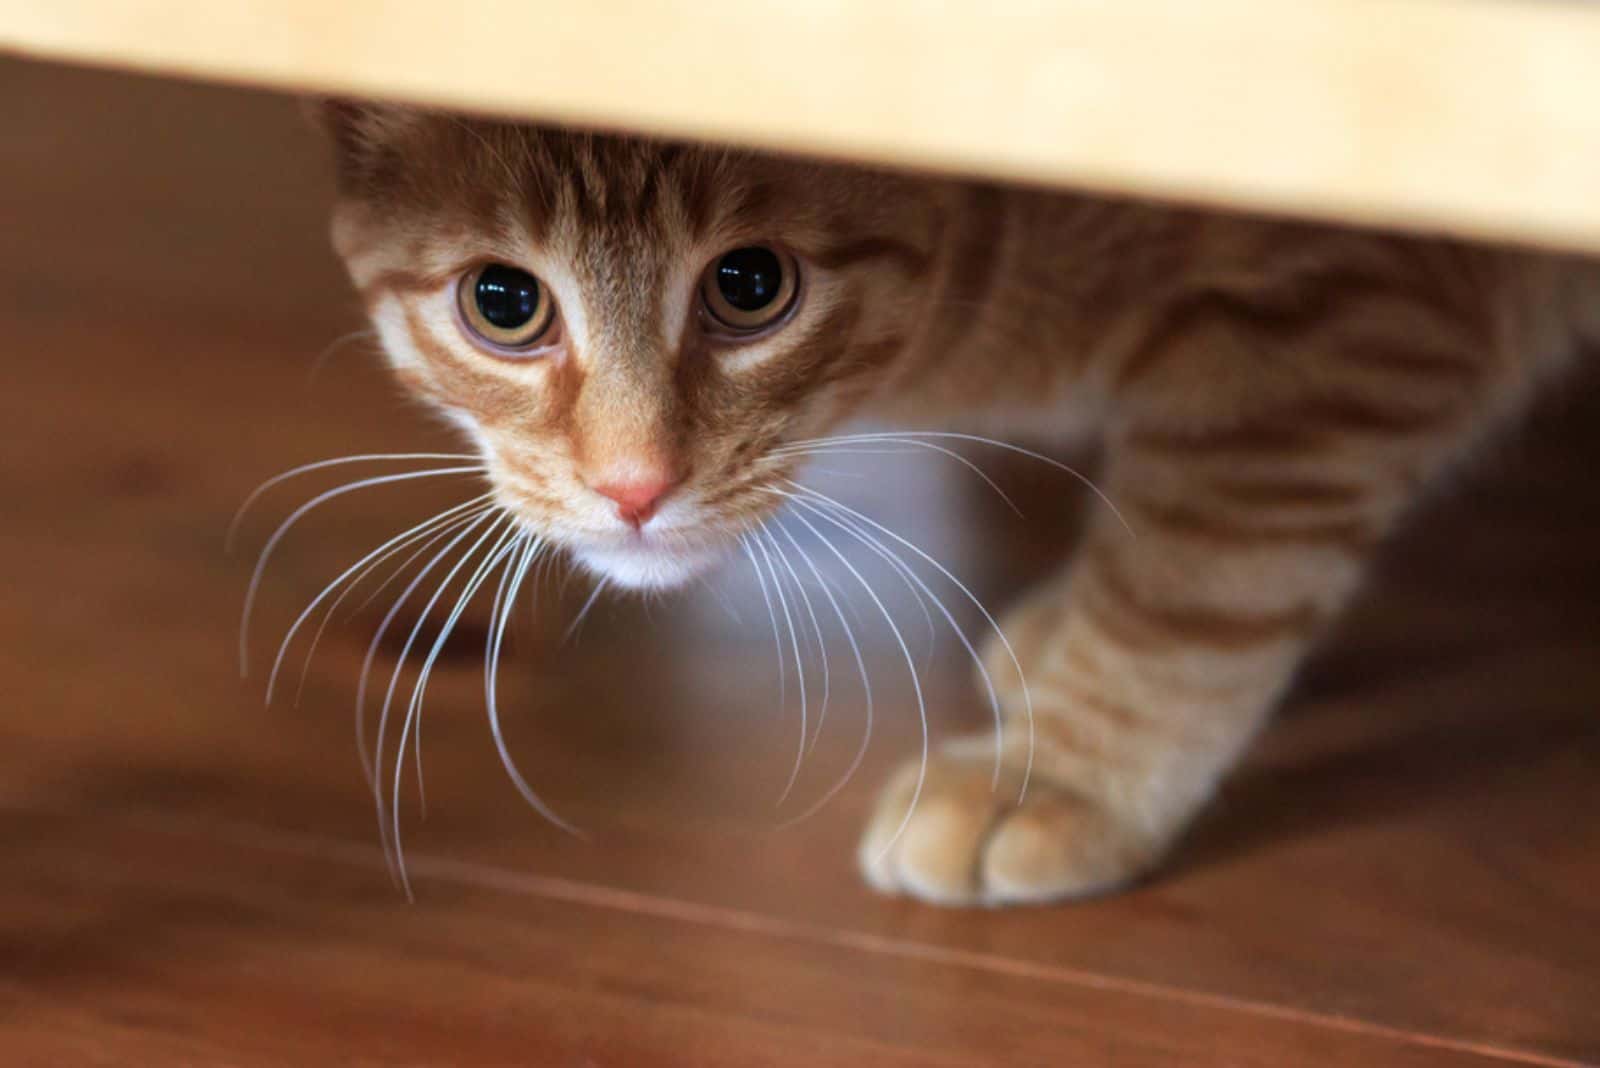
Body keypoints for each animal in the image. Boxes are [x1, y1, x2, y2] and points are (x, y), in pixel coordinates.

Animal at [318, 103, 1593, 908]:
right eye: (502, 301)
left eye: (750, 285)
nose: (634, 484)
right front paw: (1061, 641)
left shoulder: (1339, 320)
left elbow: (1187, 585)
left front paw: (1063, 774)